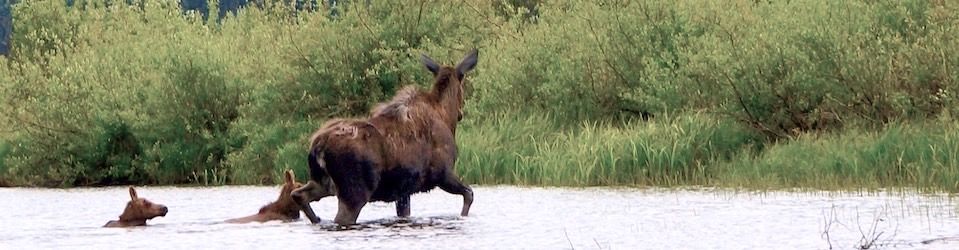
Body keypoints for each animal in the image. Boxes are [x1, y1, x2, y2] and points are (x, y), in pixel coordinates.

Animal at [288, 48, 476, 225]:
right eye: (463, 86)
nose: (461, 113)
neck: (447, 116)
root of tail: (318, 145)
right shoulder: (443, 173)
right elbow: (469, 194)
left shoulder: (404, 190)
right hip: (354, 192)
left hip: (323, 182)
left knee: (298, 194)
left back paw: (317, 219)